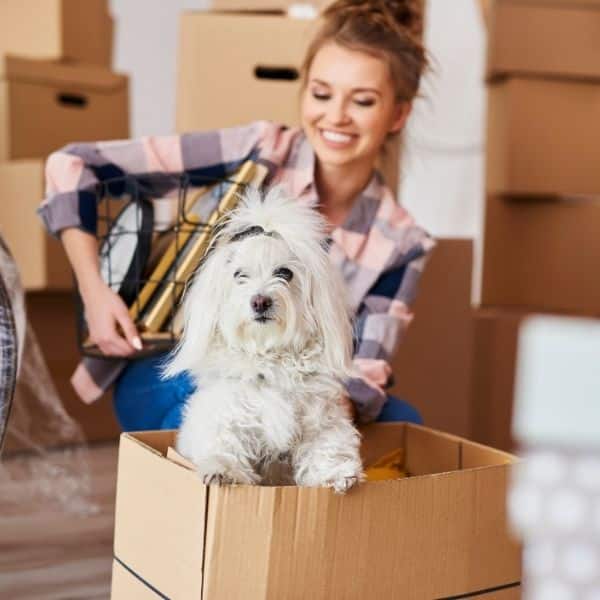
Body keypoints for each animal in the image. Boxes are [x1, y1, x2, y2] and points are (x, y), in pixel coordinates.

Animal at [162, 186, 364, 492]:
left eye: (284, 273)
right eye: (239, 275)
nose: (260, 301)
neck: (269, 357)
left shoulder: (321, 418)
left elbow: (326, 444)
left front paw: (336, 473)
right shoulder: (226, 412)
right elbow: (223, 440)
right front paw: (223, 470)